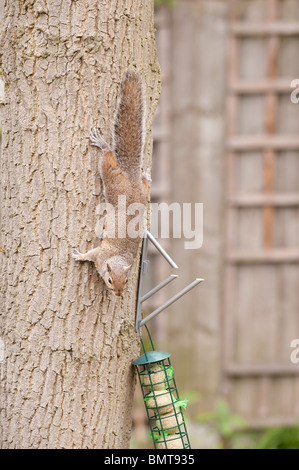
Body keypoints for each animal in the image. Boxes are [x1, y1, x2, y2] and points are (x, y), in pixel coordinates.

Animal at [72, 71, 151, 296]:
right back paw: (103, 144)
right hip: (114, 180)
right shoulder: (99, 254)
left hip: (134, 192)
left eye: (125, 280)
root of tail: (131, 181)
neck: (115, 259)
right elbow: (90, 255)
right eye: (109, 280)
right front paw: (80, 256)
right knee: (107, 157)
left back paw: (145, 174)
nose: (117, 294)